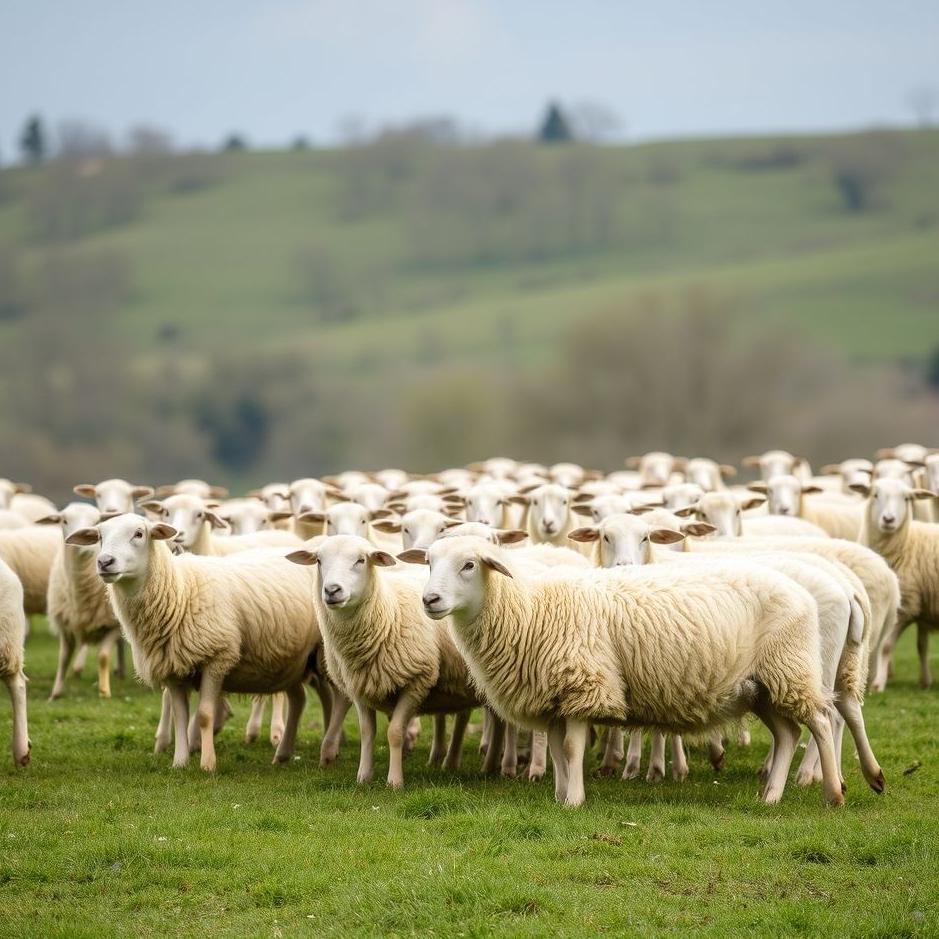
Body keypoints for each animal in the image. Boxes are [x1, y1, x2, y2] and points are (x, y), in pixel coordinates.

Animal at [42, 503, 122, 700]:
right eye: (64, 520)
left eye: (96, 522)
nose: (82, 546)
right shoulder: (65, 624)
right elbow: (63, 658)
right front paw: (55, 693)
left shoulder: (114, 625)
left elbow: (103, 656)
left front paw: (104, 691)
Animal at [66, 514, 338, 771]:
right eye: (99, 536)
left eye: (139, 533)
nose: (104, 562)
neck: (180, 591)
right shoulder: (173, 668)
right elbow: (180, 716)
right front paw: (180, 762)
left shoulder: (217, 657)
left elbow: (205, 715)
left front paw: (208, 764)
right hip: (294, 660)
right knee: (304, 699)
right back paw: (288, 753)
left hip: (323, 654)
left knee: (334, 698)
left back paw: (329, 747)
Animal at [286, 535, 481, 788]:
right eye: (319, 560)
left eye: (361, 560)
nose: (331, 590)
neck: (389, 612)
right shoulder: (358, 687)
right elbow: (367, 732)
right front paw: (363, 777)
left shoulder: (417, 680)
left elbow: (395, 732)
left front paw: (395, 781)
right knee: (464, 714)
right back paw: (452, 762)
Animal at [407, 535, 844, 808]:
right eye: (428, 563)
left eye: (469, 565)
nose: (429, 600)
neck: (529, 610)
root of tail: (801, 592)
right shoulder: (554, 698)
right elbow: (556, 750)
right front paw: (560, 795)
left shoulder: (584, 684)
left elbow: (571, 749)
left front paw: (574, 801)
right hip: (762, 686)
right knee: (788, 734)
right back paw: (770, 797)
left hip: (790, 669)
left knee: (821, 722)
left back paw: (833, 794)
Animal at [853, 477, 939, 688]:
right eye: (875, 494)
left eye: (907, 498)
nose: (888, 520)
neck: (906, 544)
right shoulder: (920, 603)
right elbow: (922, 646)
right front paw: (925, 681)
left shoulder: (905, 605)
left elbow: (885, 646)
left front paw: (878, 684)